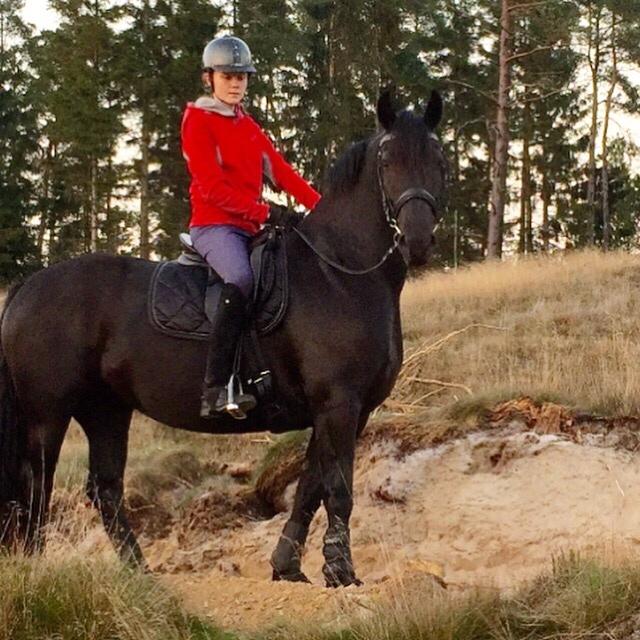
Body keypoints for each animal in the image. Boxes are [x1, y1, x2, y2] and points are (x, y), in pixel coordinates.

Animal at [0, 92, 444, 588]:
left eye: (438, 158)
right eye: (387, 160)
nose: (417, 241)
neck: (339, 272)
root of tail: (29, 284)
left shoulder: (347, 410)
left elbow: (309, 487)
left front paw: (288, 566)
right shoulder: (339, 404)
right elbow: (338, 490)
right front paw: (340, 571)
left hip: (105, 410)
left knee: (105, 490)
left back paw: (141, 577)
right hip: (47, 414)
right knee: (36, 486)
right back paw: (37, 570)